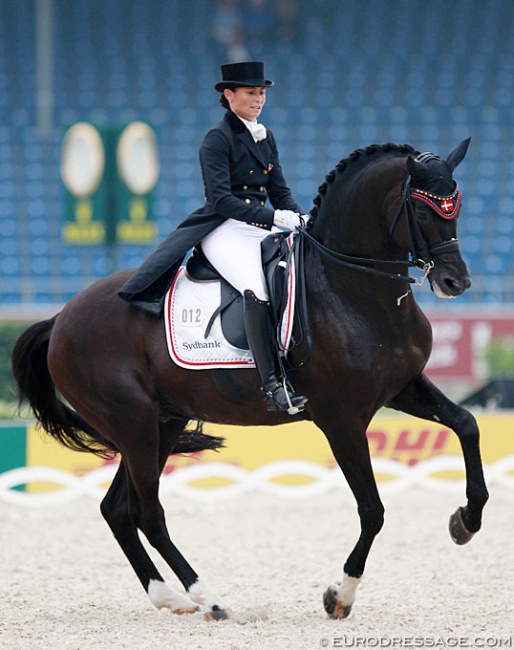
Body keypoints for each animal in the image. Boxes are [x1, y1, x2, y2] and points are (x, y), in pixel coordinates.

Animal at [11, 140, 484, 616]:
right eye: (421, 210)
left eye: (456, 206)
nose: (455, 282)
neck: (353, 290)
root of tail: (61, 318)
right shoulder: (342, 419)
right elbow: (372, 510)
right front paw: (340, 594)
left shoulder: (402, 388)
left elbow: (466, 424)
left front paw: (466, 521)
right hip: (134, 423)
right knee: (147, 512)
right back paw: (207, 597)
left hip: (162, 422)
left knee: (118, 510)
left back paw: (167, 596)